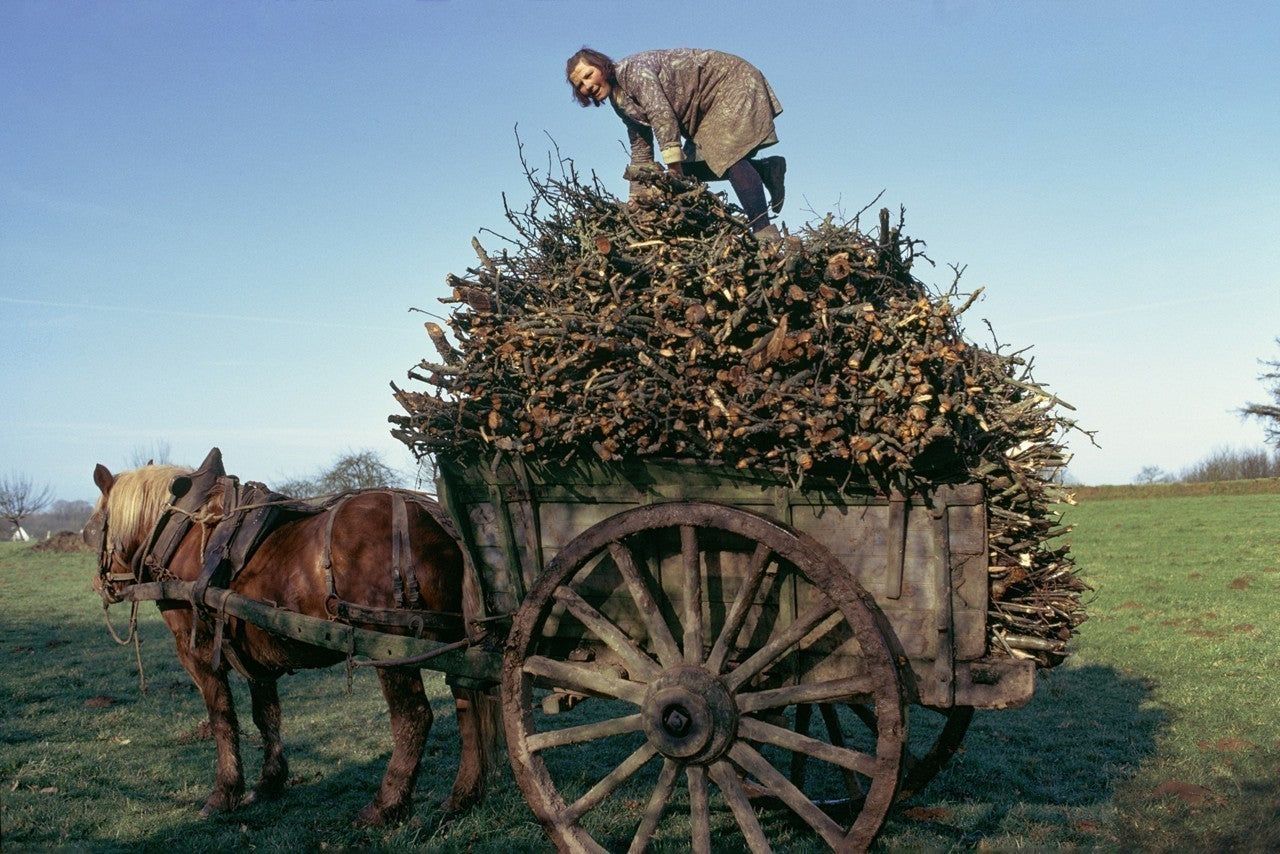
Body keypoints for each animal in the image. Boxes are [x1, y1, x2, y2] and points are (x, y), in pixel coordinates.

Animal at [83, 450, 494, 824]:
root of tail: (433, 515)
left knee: (414, 718)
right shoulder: (252, 652)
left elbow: (222, 717)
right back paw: (463, 796)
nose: (101, 585)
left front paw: (224, 793)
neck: (184, 531)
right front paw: (269, 782)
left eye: (93, 528)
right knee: (468, 701)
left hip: (391, 649)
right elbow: (266, 716)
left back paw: (385, 806)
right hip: (456, 641)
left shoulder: (195, 650)